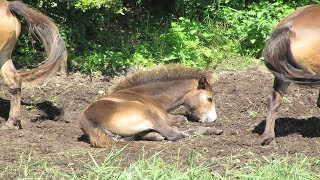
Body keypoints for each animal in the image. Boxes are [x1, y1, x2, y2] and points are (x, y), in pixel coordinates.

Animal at [79, 64, 220, 148]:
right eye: (209, 98)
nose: (213, 119)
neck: (151, 96)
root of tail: (89, 121)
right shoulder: (165, 117)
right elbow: (182, 120)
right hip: (148, 113)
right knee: (173, 135)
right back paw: (213, 130)